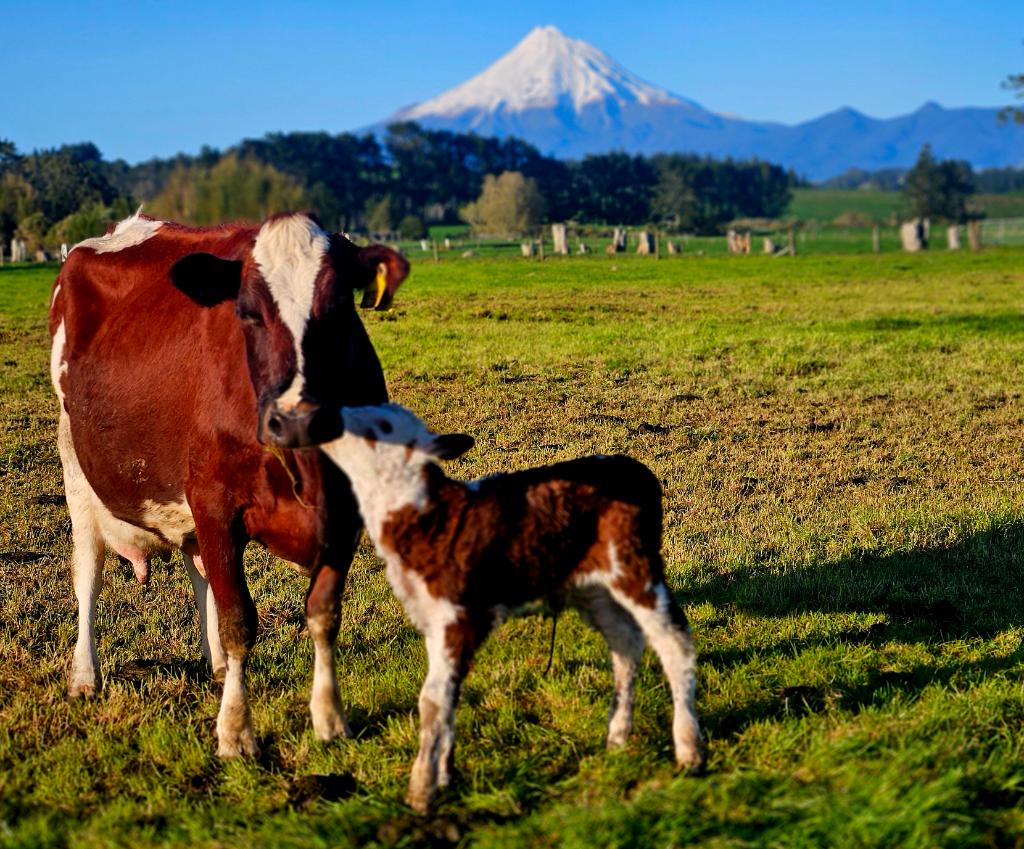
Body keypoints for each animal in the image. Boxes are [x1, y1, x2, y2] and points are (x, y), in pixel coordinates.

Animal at [49, 210, 409, 756]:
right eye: (248, 313)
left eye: (340, 309)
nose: (296, 414)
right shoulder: (217, 505)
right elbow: (239, 619)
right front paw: (235, 731)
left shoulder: (345, 515)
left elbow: (324, 615)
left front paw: (329, 718)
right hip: (77, 464)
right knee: (88, 569)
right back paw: (85, 676)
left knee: (196, 566)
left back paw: (215, 663)